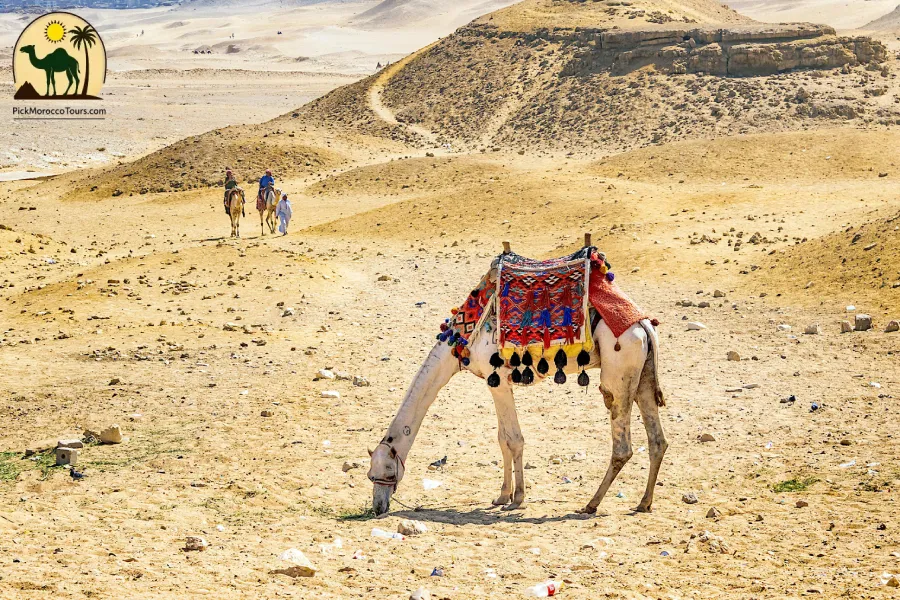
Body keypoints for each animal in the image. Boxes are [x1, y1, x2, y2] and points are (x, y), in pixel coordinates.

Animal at [368, 241, 667, 516]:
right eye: (371, 475)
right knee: (657, 440)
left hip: (618, 372)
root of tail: (644, 324)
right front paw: (502, 496)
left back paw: (591, 504)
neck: (461, 339)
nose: (378, 507)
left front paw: (517, 499)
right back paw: (644, 502)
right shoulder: (499, 383)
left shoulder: (497, 380)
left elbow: (514, 440)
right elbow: (503, 439)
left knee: (622, 445)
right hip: (643, 374)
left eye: (386, 472)